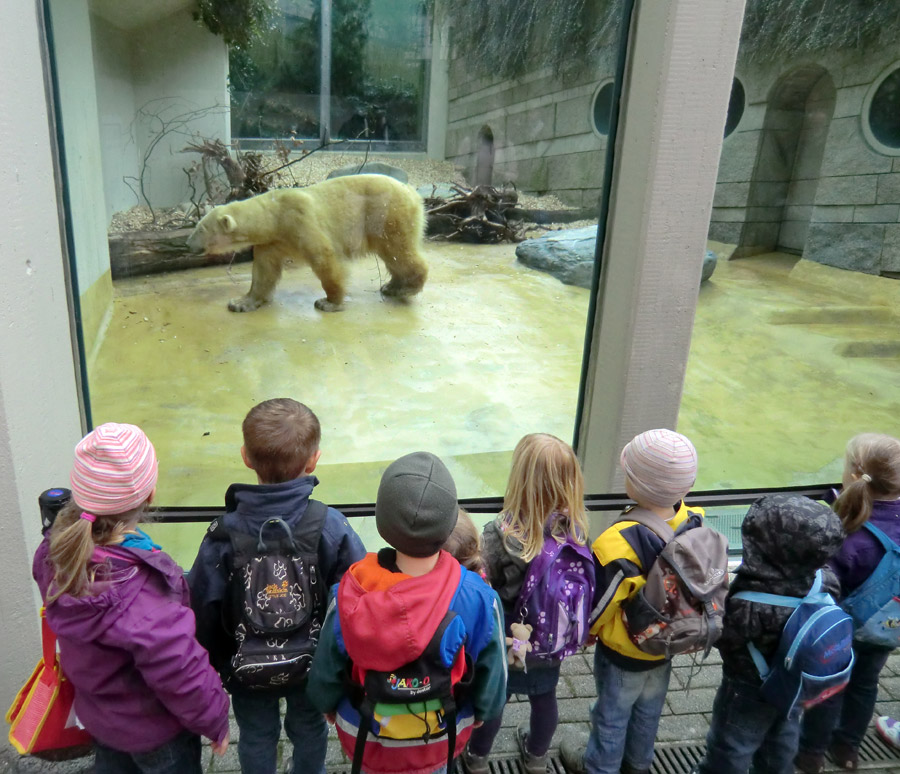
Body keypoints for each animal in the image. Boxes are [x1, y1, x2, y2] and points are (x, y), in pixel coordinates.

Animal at [185, 174, 428, 314]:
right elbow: (264, 271)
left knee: (399, 251)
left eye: (200, 229)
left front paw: (329, 302)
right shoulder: (271, 242)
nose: (187, 244)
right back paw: (392, 286)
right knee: (393, 256)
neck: (274, 217)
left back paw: (407, 287)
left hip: (387, 215)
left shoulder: (300, 221)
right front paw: (241, 302)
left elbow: (324, 257)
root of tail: (412, 192)